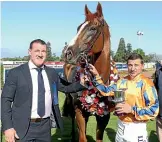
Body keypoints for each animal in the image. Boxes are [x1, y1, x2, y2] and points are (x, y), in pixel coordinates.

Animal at [62, 2, 117, 142]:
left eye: (92, 28)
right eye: (78, 28)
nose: (67, 53)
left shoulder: (104, 117)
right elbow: (82, 137)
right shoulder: (79, 112)